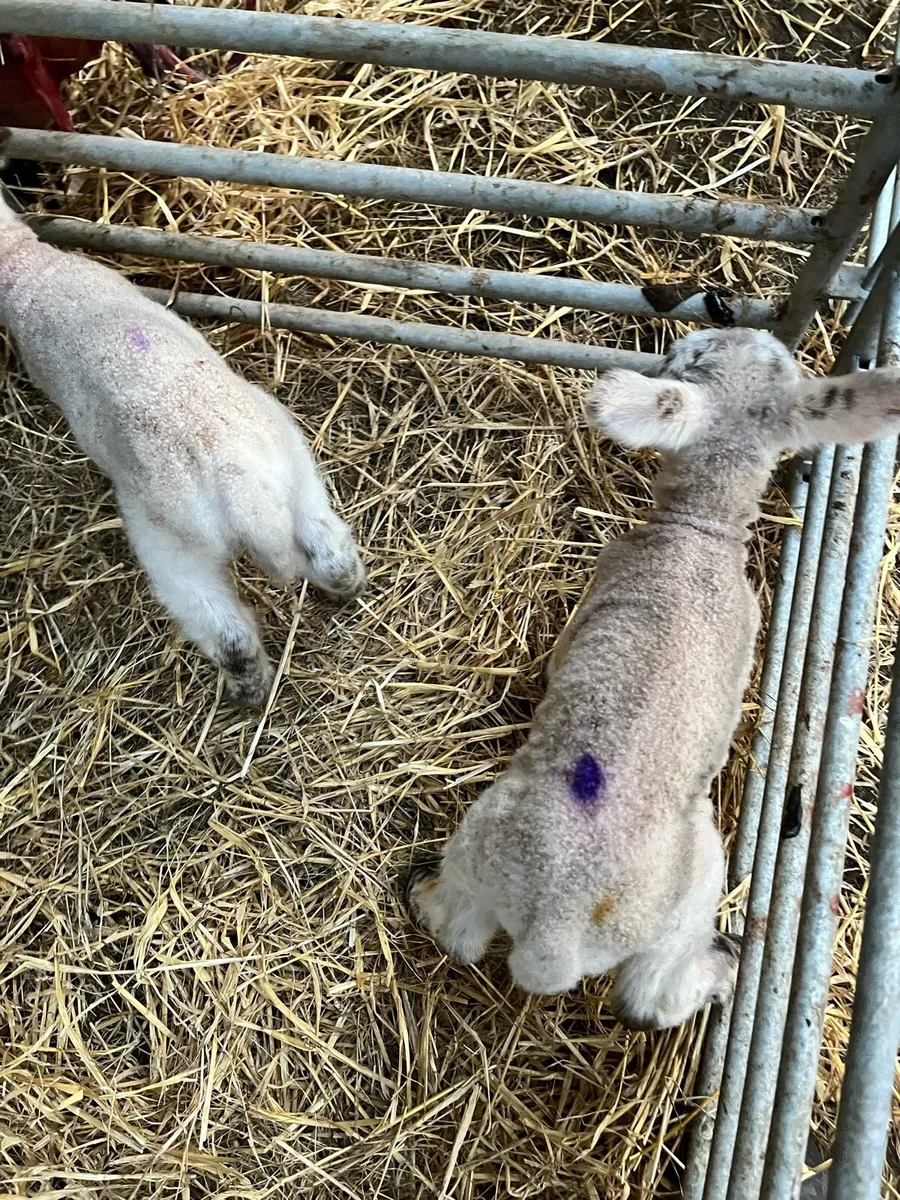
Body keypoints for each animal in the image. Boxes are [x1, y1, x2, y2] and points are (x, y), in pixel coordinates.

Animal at [0, 195, 365, 705]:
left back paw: (250, 692)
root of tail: (237, 486)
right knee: (325, 554)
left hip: (173, 539)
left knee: (225, 630)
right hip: (287, 468)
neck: (25, 265)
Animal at [408, 327, 900, 1030]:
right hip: (545, 884)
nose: (693, 334)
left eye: (692, 360)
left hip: (611, 888)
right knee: (493, 943)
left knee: (630, 989)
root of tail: (556, 929)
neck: (702, 528)